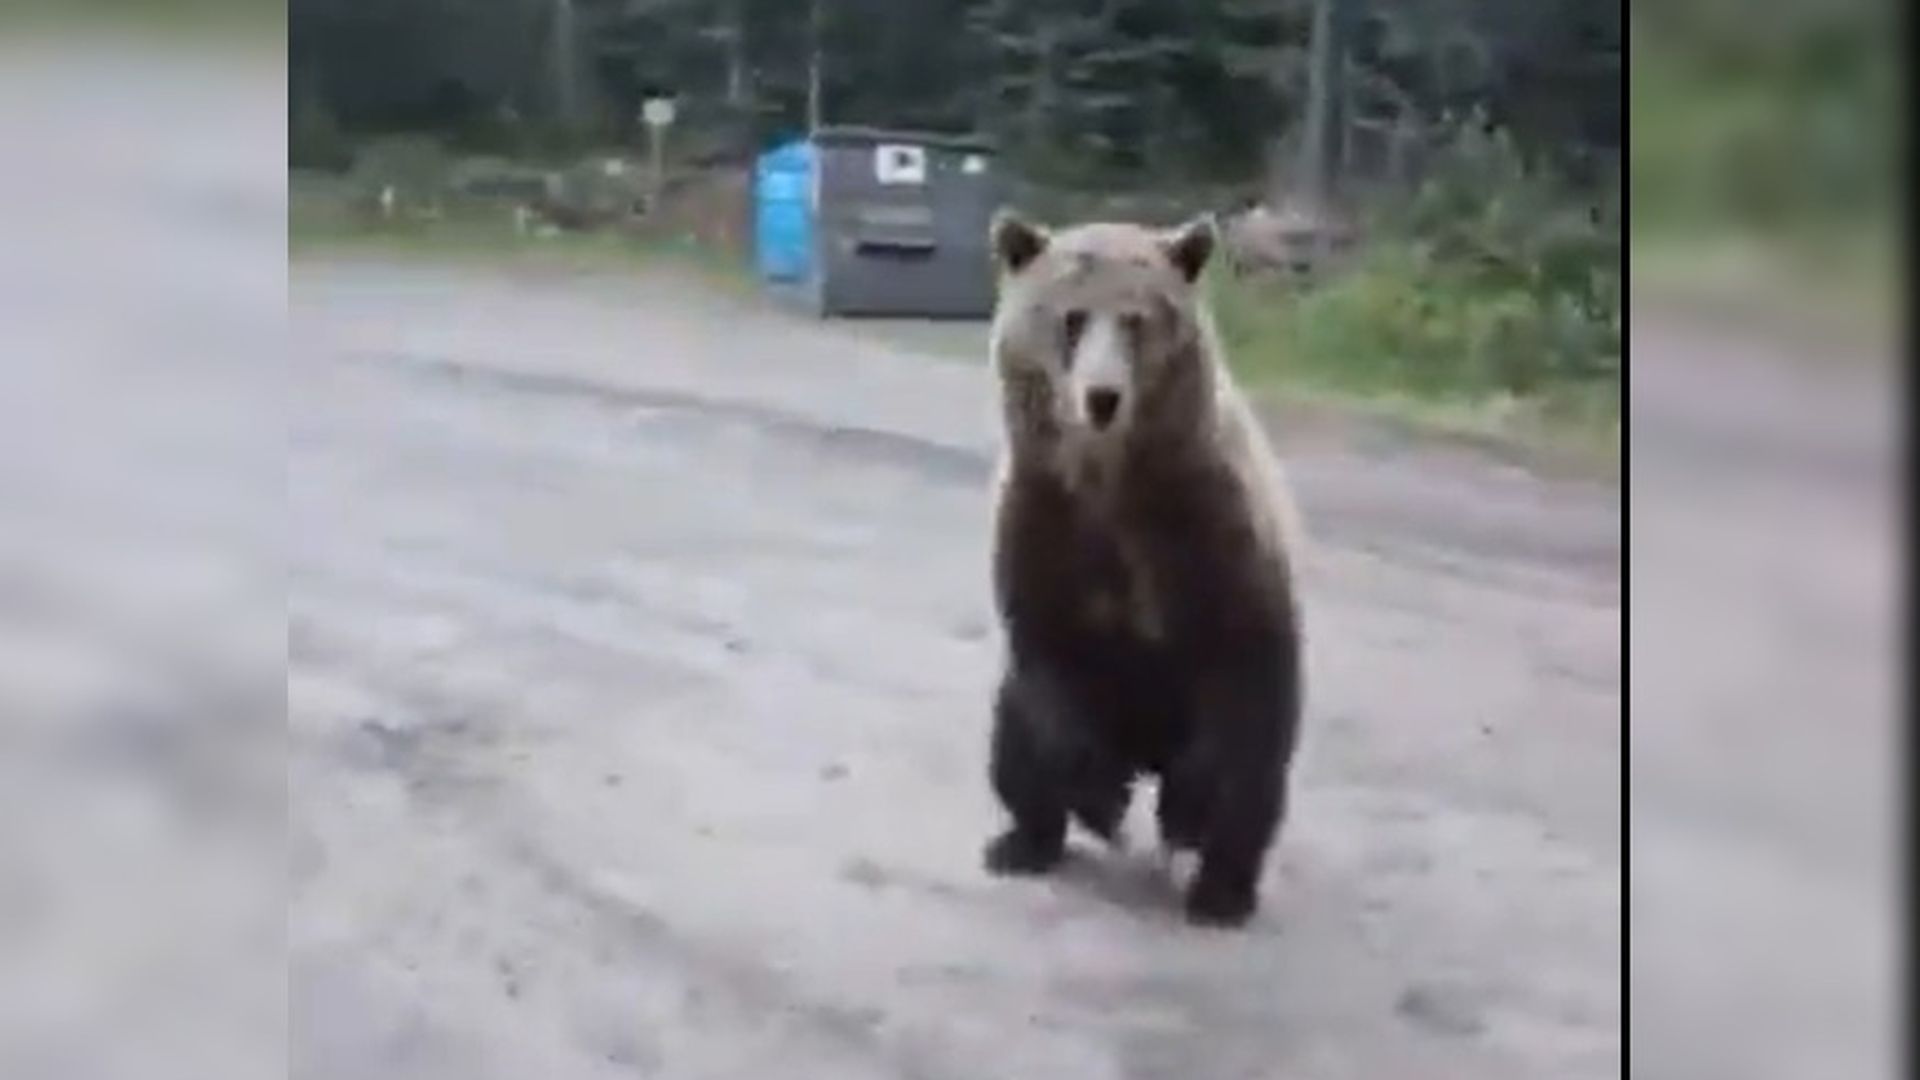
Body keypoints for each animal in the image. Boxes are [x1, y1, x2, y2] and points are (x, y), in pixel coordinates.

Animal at [979, 210, 1306, 928]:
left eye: (1136, 320)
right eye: (1071, 318)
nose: (1102, 398)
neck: (1112, 480)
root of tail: (1146, 751)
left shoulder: (1209, 529)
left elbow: (1237, 677)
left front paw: (1185, 814)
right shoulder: (1047, 523)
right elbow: (1047, 656)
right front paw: (1101, 799)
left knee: (1257, 783)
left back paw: (1221, 889)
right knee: (1011, 743)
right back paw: (1022, 841)